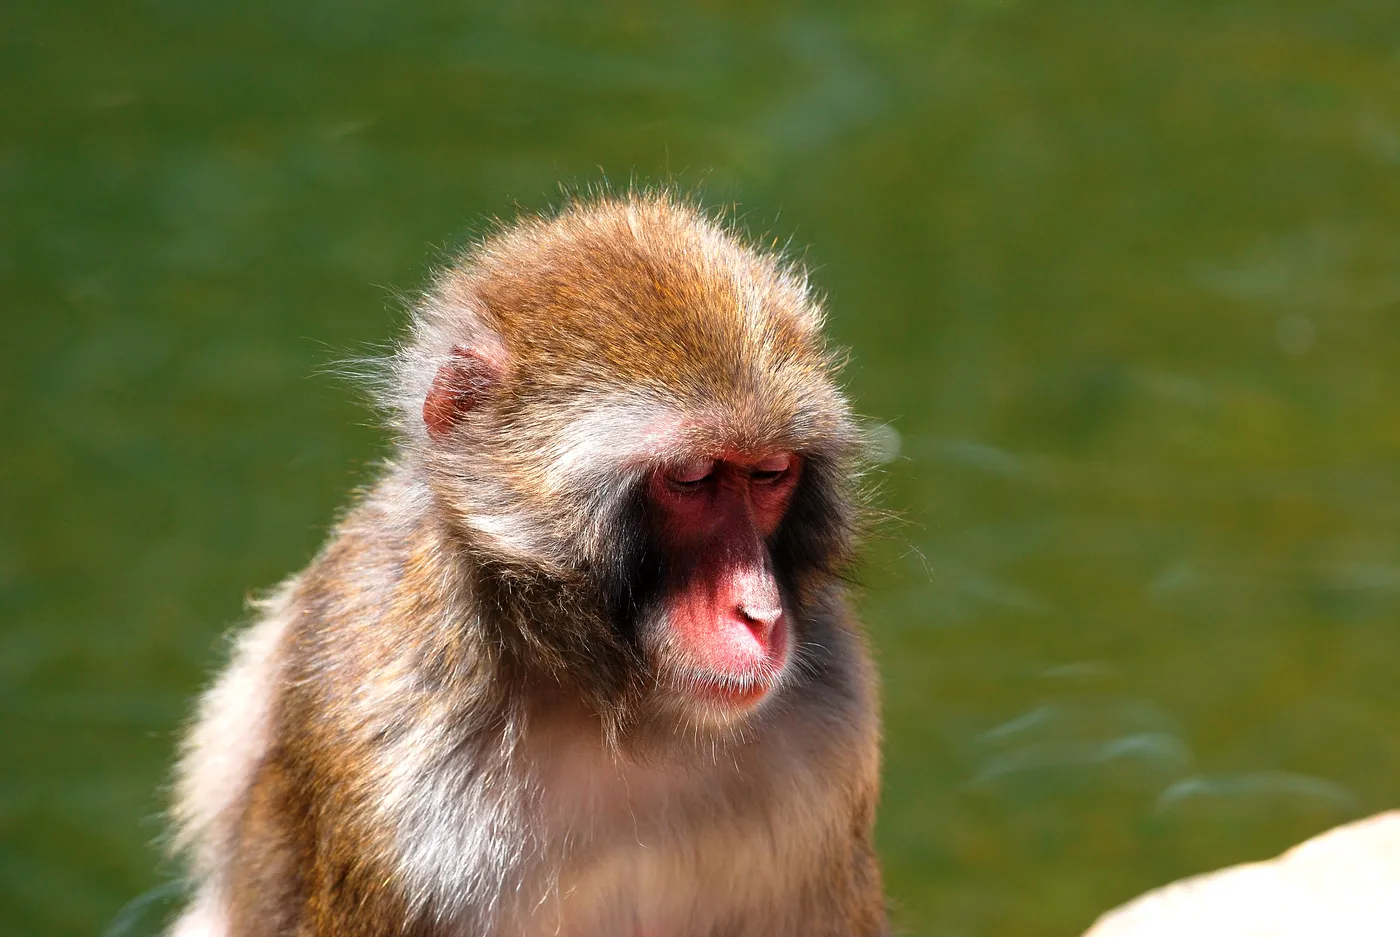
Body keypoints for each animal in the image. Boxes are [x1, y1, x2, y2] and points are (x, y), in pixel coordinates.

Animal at [167, 193, 887, 937]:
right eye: (690, 478)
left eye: (770, 473)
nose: (760, 611)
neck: (620, 712)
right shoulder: (385, 774)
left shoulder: (834, 738)